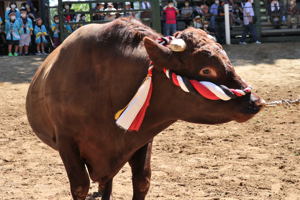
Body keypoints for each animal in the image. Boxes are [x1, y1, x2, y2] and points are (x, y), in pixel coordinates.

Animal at [26, 17, 264, 200]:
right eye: (206, 70)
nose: (255, 101)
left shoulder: (140, 139)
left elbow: (142, 181)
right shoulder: (66, 142)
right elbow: (80, 187)